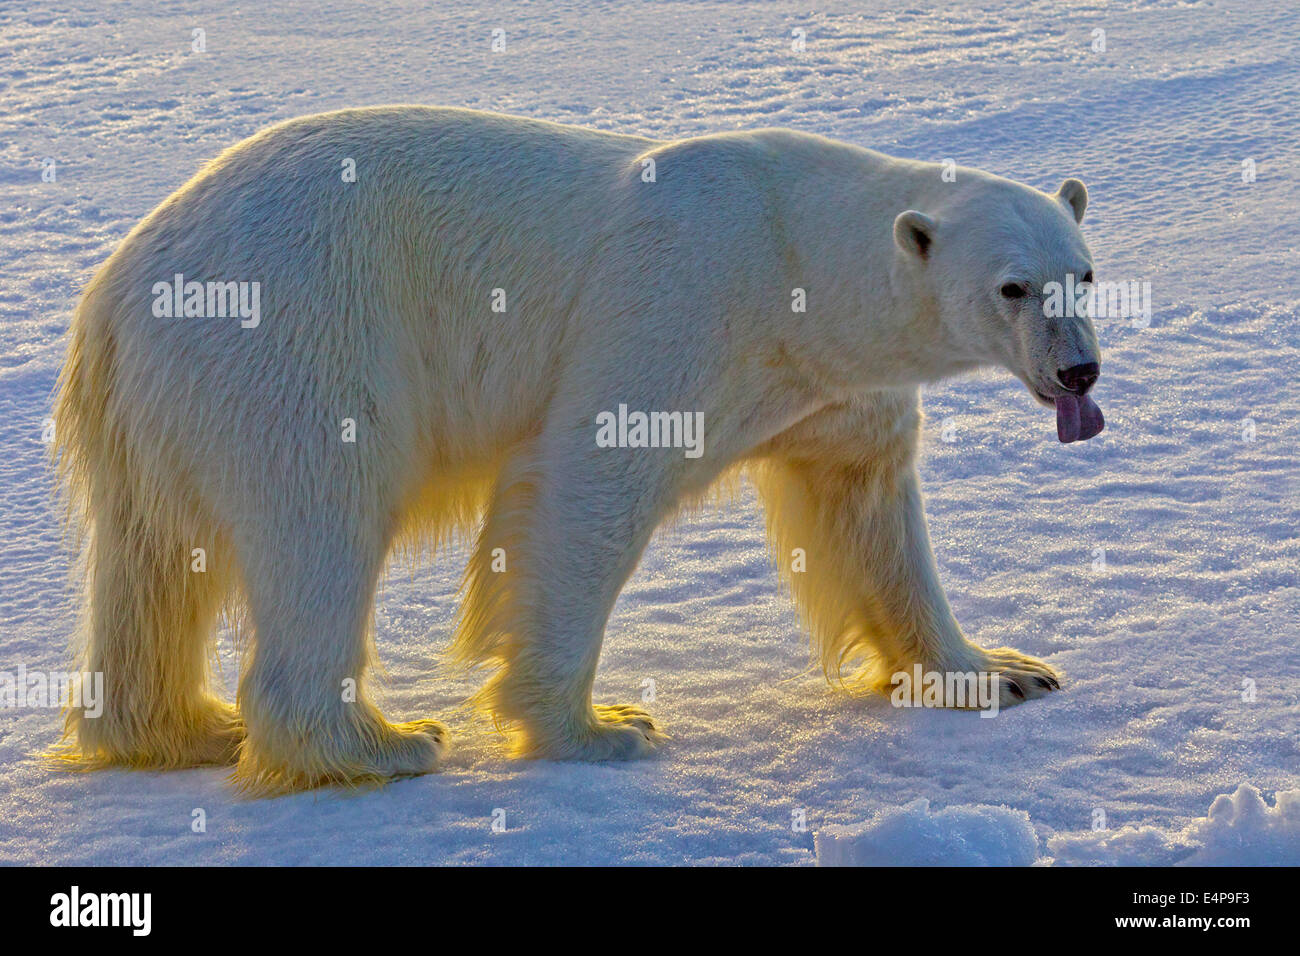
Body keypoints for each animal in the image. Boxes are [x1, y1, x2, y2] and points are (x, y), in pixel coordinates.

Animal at [53, 106, 1107, 790]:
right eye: (1013, 288)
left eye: (1084, 273)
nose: (1081, 372)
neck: (796, 256)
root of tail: (114, 289)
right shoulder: (677, 300)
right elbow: (587, 482)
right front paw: (600, 728)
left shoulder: (830, 383)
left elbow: (867, 508)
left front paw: (1001, 672)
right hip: (298, 334)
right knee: (321, 519)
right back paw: (379, 743)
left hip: (158, 408)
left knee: (152, 562)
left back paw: (179, 728)